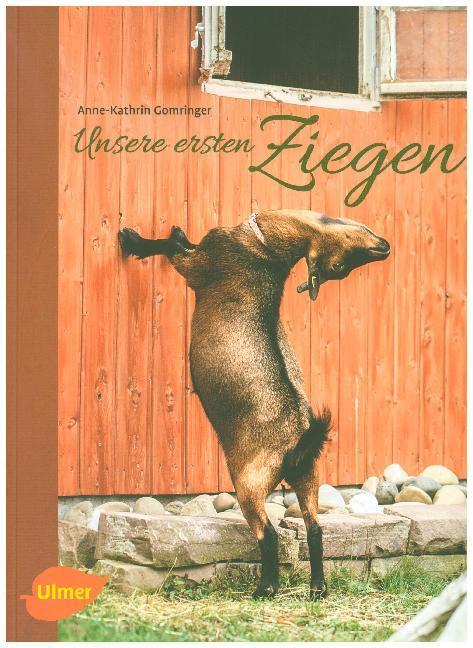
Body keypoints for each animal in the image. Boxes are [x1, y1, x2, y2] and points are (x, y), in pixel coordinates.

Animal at [118, 209, 390, 600]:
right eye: (341, 265)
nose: (384, 248)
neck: (266, 249)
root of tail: (298, 442)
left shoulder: (198, 265)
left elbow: (172, 247)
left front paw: (133, 240)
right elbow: (181, 240)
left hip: (249, 481)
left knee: (268, 533)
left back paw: (266, 588)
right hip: (309, 478)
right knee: (315, 529)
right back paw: (317, 588)